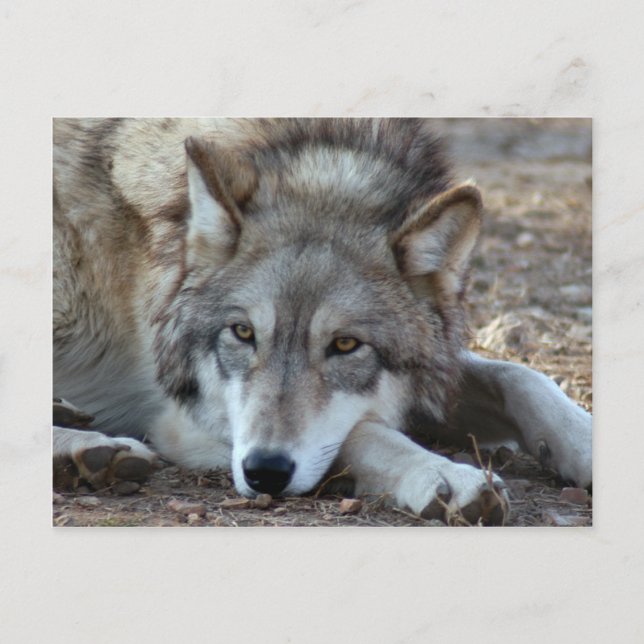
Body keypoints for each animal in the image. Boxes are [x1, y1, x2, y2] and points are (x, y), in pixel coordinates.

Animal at [53, 118, 591, 525]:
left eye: (346, 345)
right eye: (243, 333)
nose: (264, 472)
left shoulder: (437, 375)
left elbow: (520, 375)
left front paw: (586, 441)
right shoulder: (186, 415)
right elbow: (362, 432)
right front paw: (445, 476)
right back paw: (88, 451)